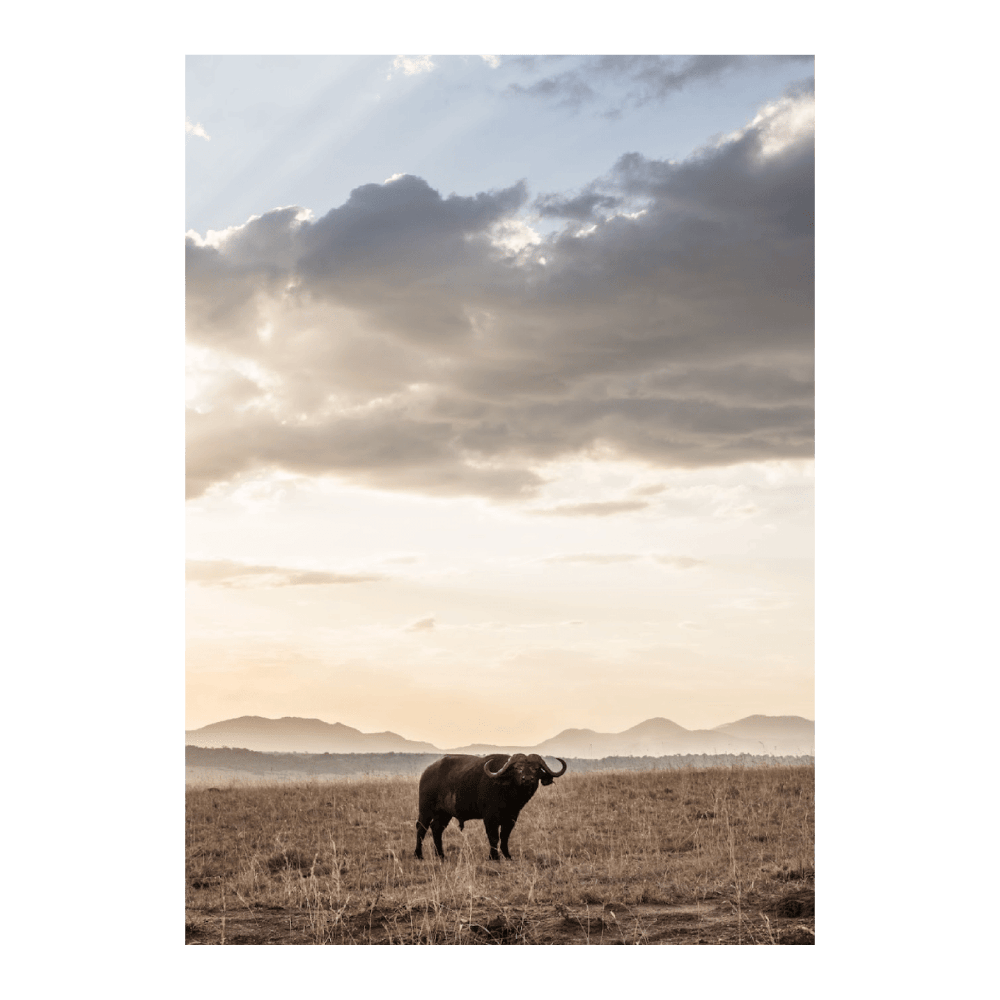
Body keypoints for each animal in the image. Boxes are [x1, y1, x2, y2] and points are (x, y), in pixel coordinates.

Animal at [415, 753, 567, 861]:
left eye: (536, 769)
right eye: (518, 768)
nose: (527, 779)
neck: (509, 794)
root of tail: (427, 772)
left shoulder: (511, 818)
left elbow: (505, 836)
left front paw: (507, 856)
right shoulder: (489, 818)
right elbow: (493, 837)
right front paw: (494, 857)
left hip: (444, 814)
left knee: (436, 829)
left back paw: (440, 855)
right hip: (425, 810)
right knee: (421, 828)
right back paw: (418, 855)